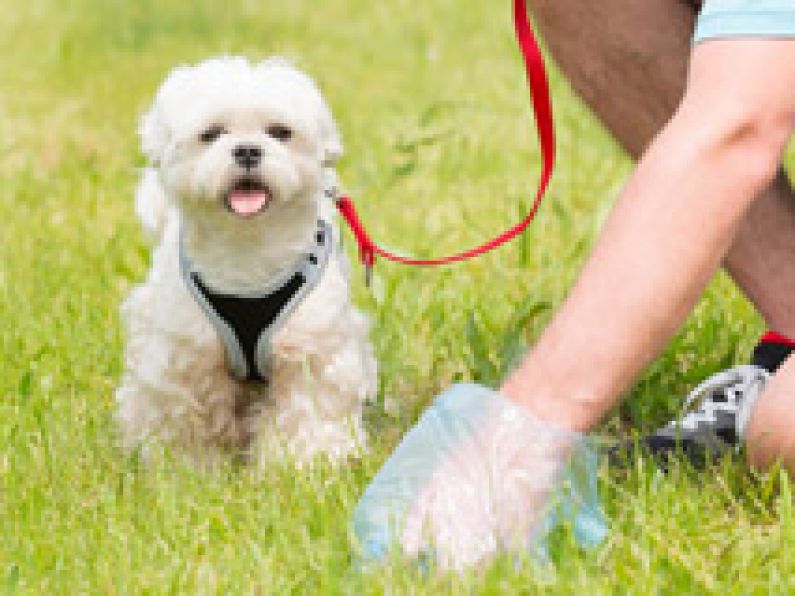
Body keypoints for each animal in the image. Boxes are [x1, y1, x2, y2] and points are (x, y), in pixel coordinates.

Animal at [115, 57, 380, 466]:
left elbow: (308, 406)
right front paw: (190, 467)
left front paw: (305, 464)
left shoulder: (311, 347)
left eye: (280, 132)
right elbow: (191, 414)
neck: (248, 252)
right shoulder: (188, 354)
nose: (248, 151)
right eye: (211, 134)